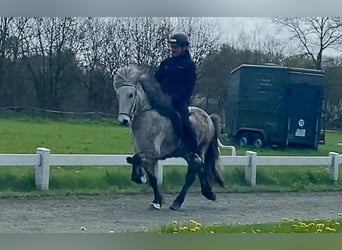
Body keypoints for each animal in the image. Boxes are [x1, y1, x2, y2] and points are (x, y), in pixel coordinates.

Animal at [113, 65, 224, 210]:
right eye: (118, 94)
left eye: (131, 94)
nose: (123, 120)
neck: (146, 118)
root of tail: (208, 117)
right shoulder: (144, 153)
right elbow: (151, 177)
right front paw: (156, 200)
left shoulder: (152, 153)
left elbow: (136, 159)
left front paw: (140, 177)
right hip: (187, 153)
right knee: (199, 169)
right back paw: (208, 193)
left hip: (200, 150)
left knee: (192, 174)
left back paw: (178, 202)